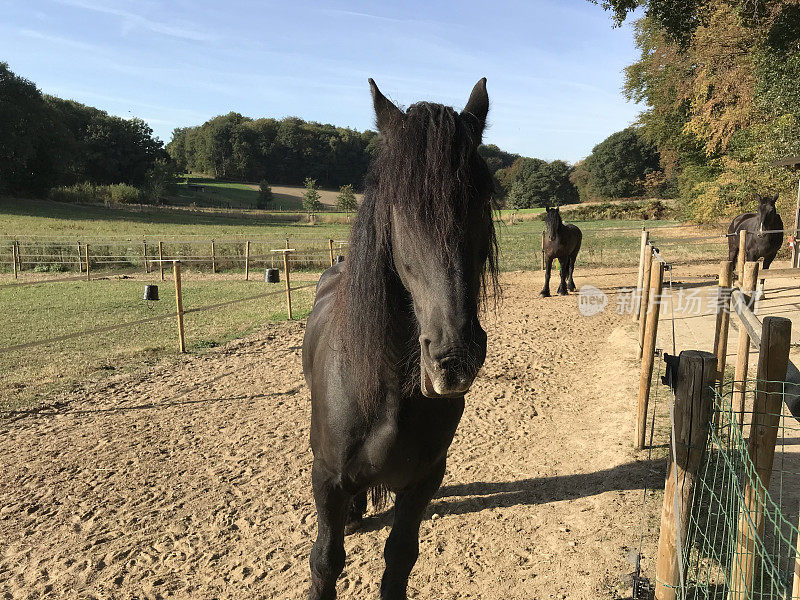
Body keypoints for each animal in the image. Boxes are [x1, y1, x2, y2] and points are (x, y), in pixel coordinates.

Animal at [302, 79, 496, 600]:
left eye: (481, 201)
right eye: (401, 207)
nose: (454, 357)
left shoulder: (422, 482)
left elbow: (400, 558)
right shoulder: (327, 479)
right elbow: (325, 561)